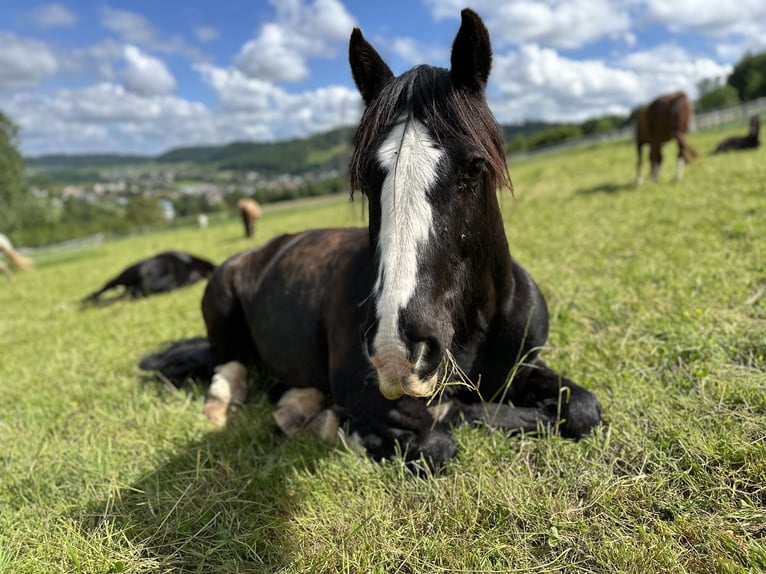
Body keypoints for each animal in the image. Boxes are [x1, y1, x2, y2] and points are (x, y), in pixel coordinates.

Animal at [147, 7, 604, 468]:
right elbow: (438, 438)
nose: (396, 350)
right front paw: (343, 425)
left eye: (475, 167)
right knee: (229, 369)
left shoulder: (524, 369)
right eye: (366, 178)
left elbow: (583, 409)